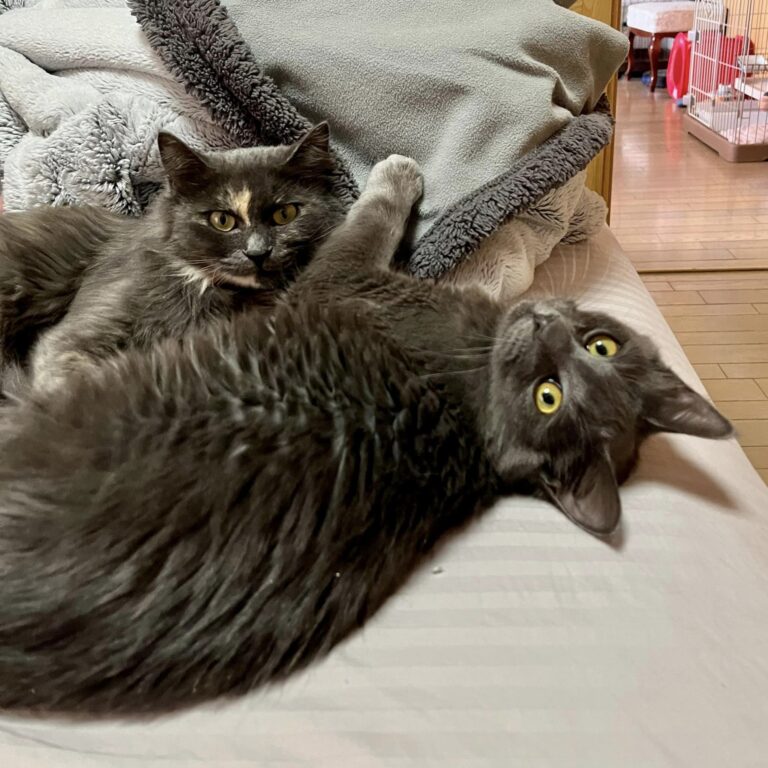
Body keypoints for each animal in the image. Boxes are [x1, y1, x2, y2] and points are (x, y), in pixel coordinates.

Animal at [0, 155, 732, 717]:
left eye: (546, 396)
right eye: (602, 344)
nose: (546, 325)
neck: (471, 396)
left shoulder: (340, 279)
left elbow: (365, 223)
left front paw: (396, 173)